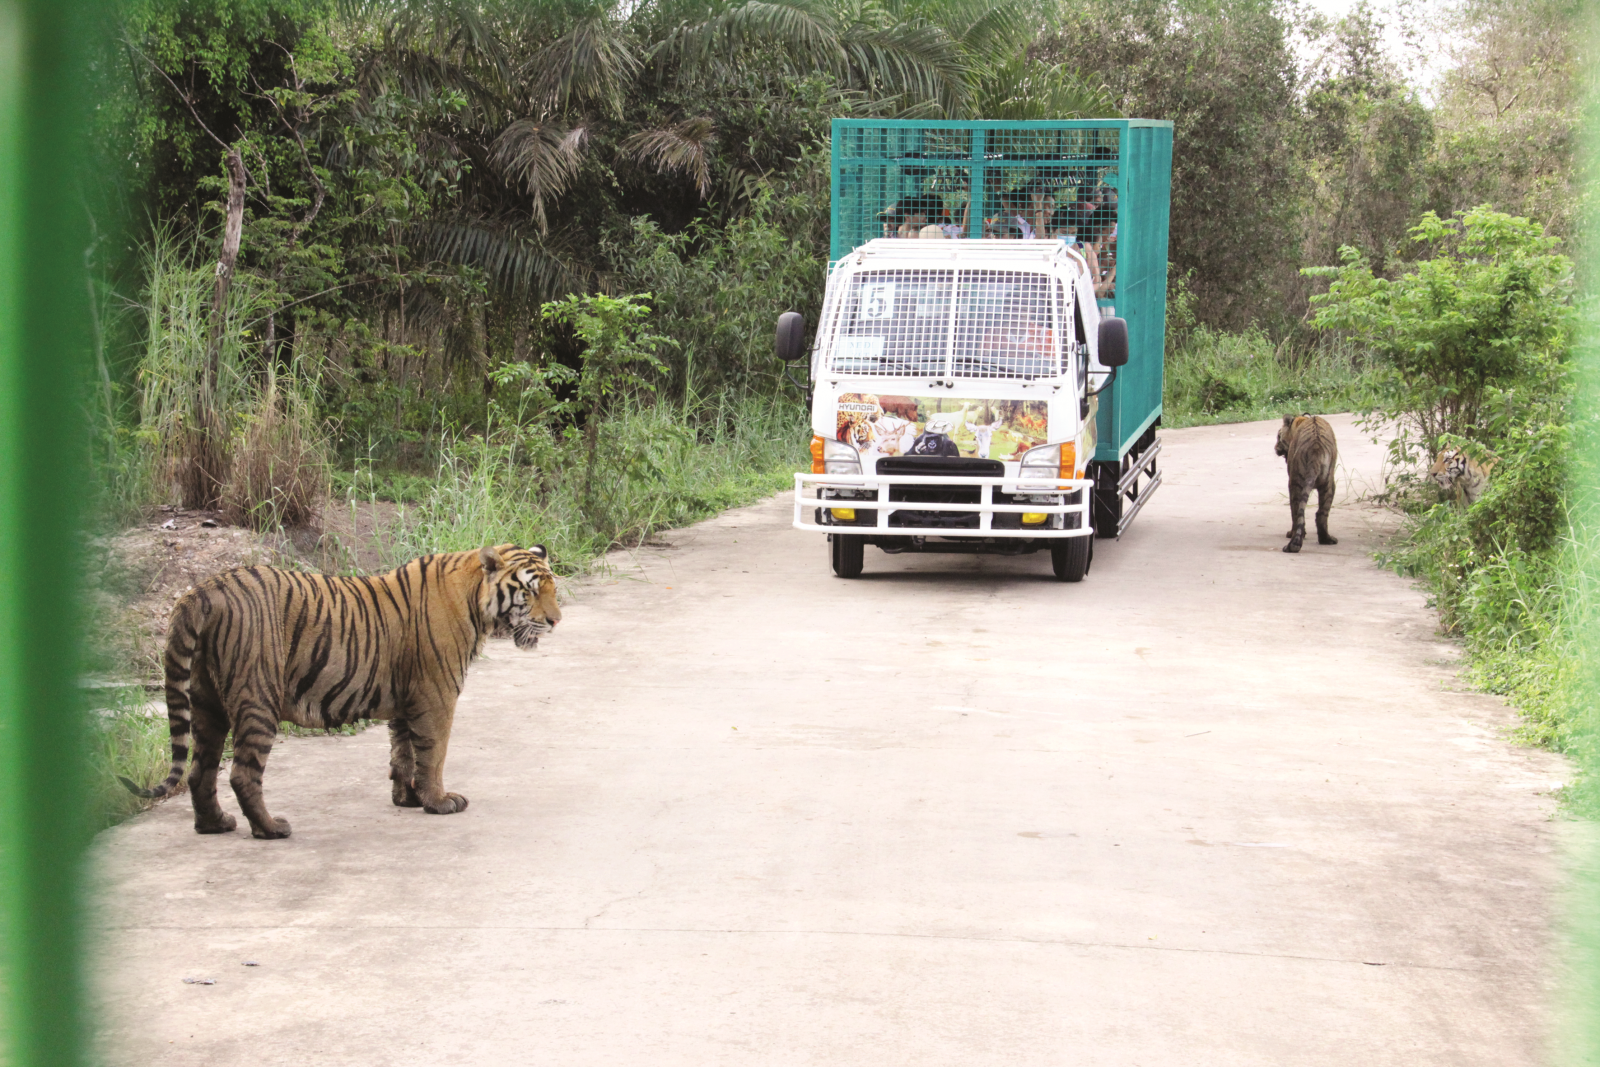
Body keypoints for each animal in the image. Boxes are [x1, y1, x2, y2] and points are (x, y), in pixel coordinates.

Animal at [118, 547, 560, 838]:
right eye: (531, 592)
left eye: (553, 590)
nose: (557, 621)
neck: (476, 600)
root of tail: (206, 587)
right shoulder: (436, 695)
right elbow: (432, 753)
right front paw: (439, 801)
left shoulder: (405, 698)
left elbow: (403, 752)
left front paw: (408, 798)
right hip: (258, 696)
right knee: (243, 773)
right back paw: (271, 828)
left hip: (207, 701)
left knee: (199, 771)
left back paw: (215, 825)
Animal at [1273, 415, 1337, 556]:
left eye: (1279, 436)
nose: (1275, 448)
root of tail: (1316, 448)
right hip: (1328, 483)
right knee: (1321, 513)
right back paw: (1326, 539)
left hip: (1296, 483)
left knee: (1297, 512)